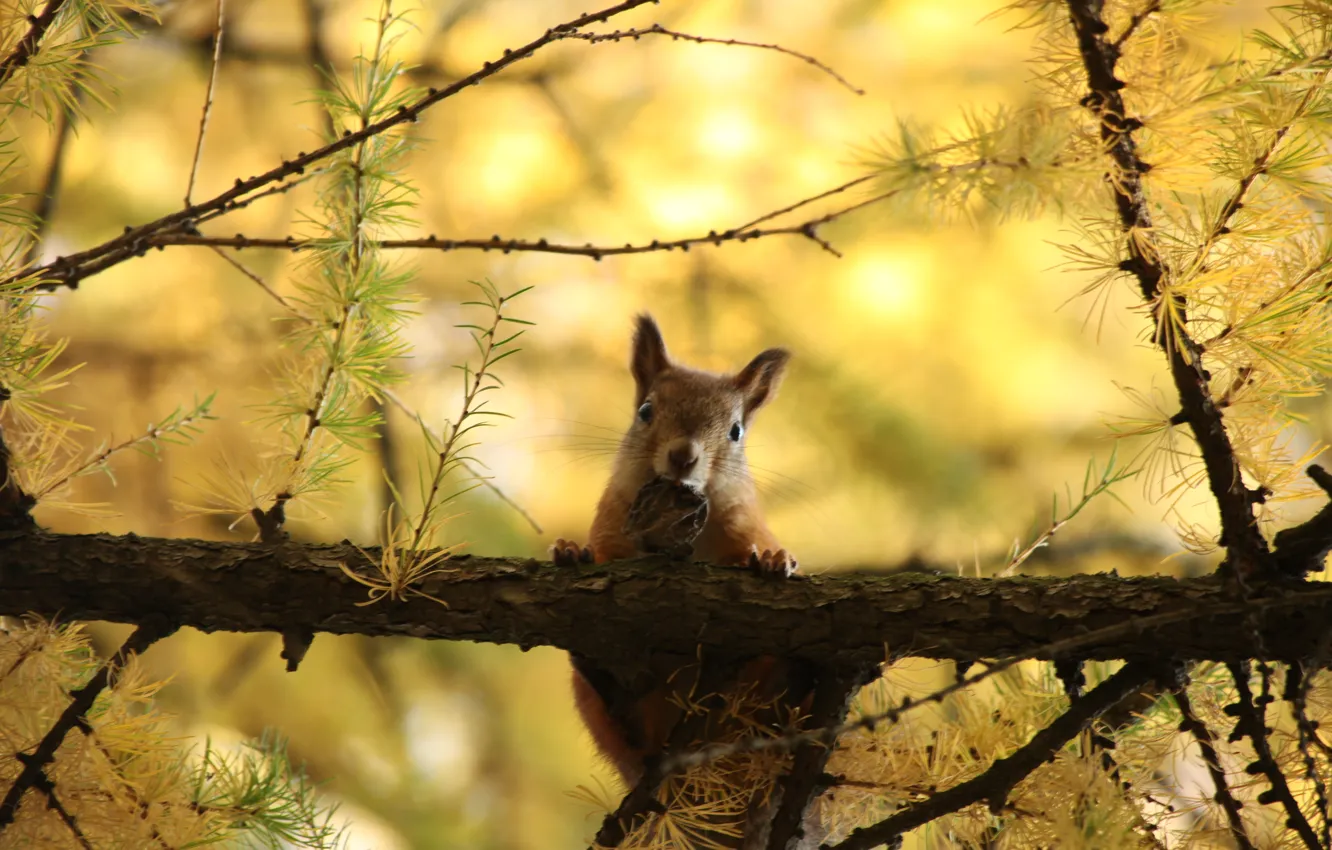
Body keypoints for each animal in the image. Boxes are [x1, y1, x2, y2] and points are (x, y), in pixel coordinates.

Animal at [554, 318, 799, 794]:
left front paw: (773, 560)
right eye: (646, 411)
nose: (683, 455)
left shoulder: (745, 525)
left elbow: (753, 549)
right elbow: (603, 555)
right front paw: (572, 552)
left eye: (736, 431)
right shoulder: (612, 526)